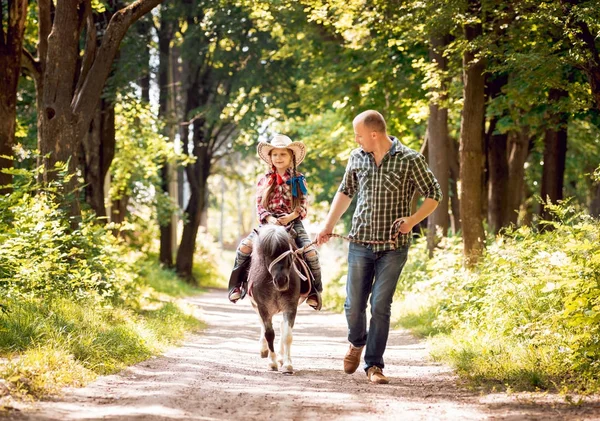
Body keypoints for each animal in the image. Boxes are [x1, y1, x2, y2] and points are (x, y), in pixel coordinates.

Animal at [247, 225, 308, 372]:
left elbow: (287, 335)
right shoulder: (262, 307)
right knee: (263, 325)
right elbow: (269, 333)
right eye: (267, 253)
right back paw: (264, 350)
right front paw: (272, 362)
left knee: (281, 326)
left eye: (288, 251)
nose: (281, 281)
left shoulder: (290, 306)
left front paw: (287, 364)